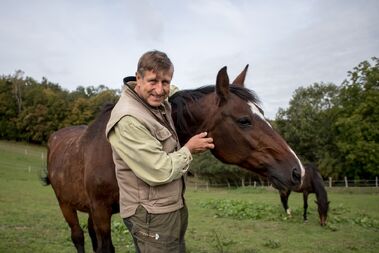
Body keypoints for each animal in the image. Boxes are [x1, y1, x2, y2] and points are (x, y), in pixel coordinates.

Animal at [44, 65, 308, 253]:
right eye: (244, 120)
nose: (297, 171)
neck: (113, 154)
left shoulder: (101, 213)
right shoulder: (100, 211)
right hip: (64, 203)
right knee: (78, 237)